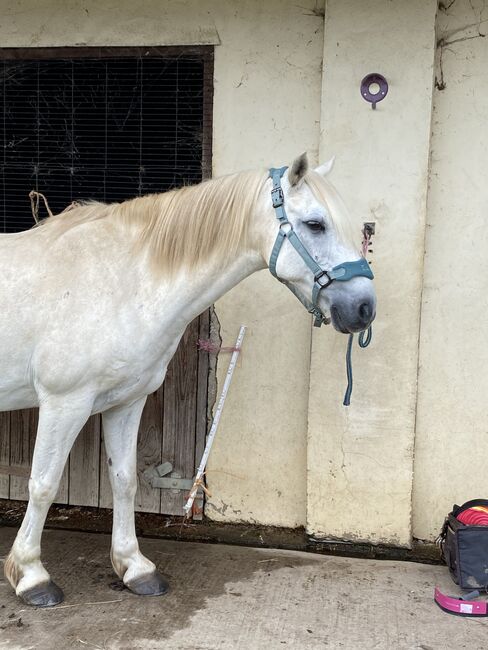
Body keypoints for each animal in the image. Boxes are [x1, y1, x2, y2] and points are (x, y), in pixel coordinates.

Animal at [0, 152, 376, 604]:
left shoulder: (126, 402)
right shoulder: (64, 403)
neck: (123, 282)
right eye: (316, 224)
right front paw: (31, 576)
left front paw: (135, 567)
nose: (365, 308)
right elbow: (43, 484)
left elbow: (124, 481)